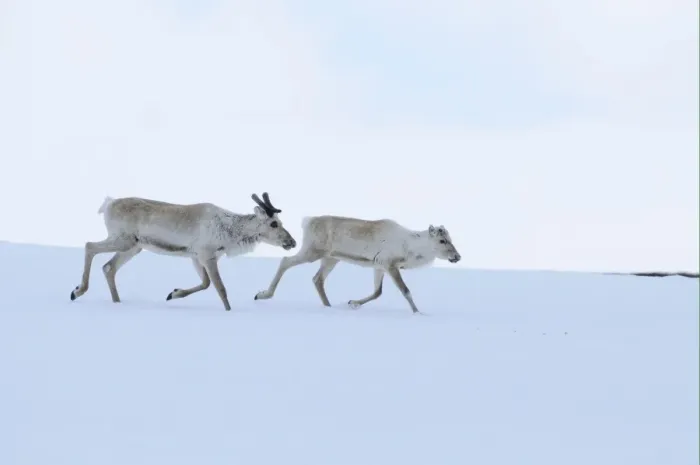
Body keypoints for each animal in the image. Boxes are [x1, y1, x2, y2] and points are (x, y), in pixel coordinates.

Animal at [69, 192, 296, 311]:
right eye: (274, 224)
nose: (292, 242)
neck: (230, 231)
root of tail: (107, 204)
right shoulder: (206, 254)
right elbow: (220, 288)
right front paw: (229, 311)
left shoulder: (196, 256)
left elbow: (205, 283)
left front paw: (173, 293)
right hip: (123, 240)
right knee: (90, 246)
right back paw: (77, 291)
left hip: (133, 247)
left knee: (108, 267)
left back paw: (117, 302)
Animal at [253, 215, 462, 313]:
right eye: (442, 241)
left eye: (450, 239)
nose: (458, 256)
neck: (411, 248)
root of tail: (308, 221)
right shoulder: (390, 264)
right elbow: (406, 291)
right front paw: (418, 312)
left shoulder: (379, 266)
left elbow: (377, 292)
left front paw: (352, 303)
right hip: (312, 251)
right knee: (286, 261)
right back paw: (262, 294)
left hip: (331, 258)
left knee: (317, 279)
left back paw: (329, 306)